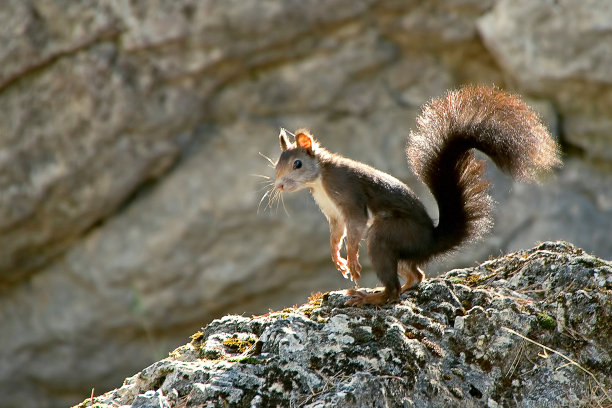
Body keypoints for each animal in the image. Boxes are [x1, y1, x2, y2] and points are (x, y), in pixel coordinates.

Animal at [274, 86, 560, 306]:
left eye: (297, 164)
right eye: (276, 164)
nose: (279, 186)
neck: (320, 179)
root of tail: (430, 241)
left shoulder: (349, 196)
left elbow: (354, 228)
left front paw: (352, 262)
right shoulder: (333, 214)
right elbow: (337, 234)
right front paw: (337, 258)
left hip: (386, 235)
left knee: (395, 284)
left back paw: (371, 297)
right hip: (400, 253)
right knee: (416, 275)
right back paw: (389, 289)